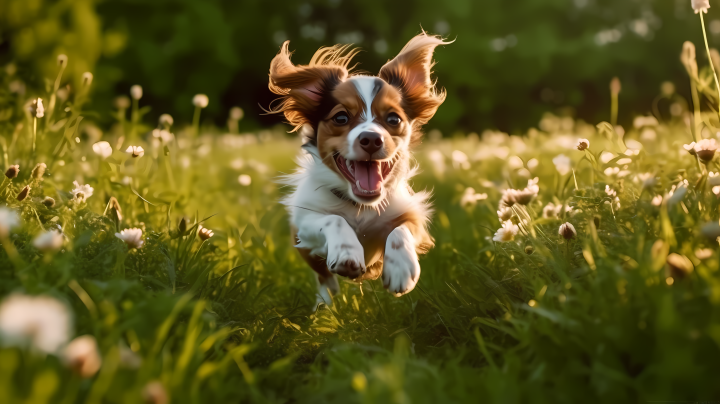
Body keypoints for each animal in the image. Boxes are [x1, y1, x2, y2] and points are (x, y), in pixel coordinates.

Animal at [270, 33, 450, 304]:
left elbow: (402, 228)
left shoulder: (413, 216)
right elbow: (333, 219)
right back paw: (324, 305)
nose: (372, 139)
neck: (359, 207)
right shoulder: (304, 227)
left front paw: (401, 268)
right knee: (326, 280)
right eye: (341, 118)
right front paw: (347, 253)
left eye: (393, 119)